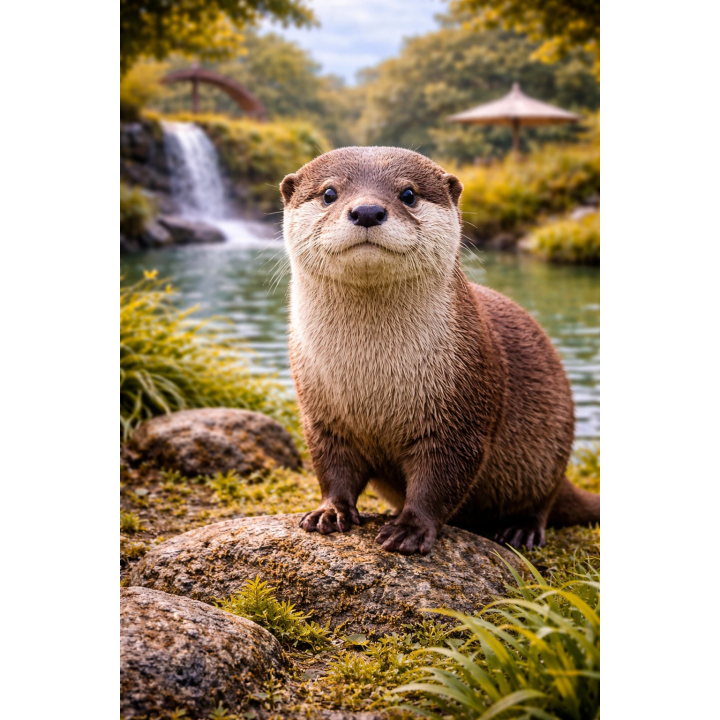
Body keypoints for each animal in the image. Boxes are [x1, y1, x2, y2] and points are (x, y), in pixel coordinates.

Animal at [280, 146, 599, 556]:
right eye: (329, 193)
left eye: (408, 194)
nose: (367, 211)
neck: (372, 378)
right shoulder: (321, 415)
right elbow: (331, 468)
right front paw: (330, 512)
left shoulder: (461, 416)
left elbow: (440, 479)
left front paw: (411, 528)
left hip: (550, 450)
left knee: (542, 502)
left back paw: (521, 530)